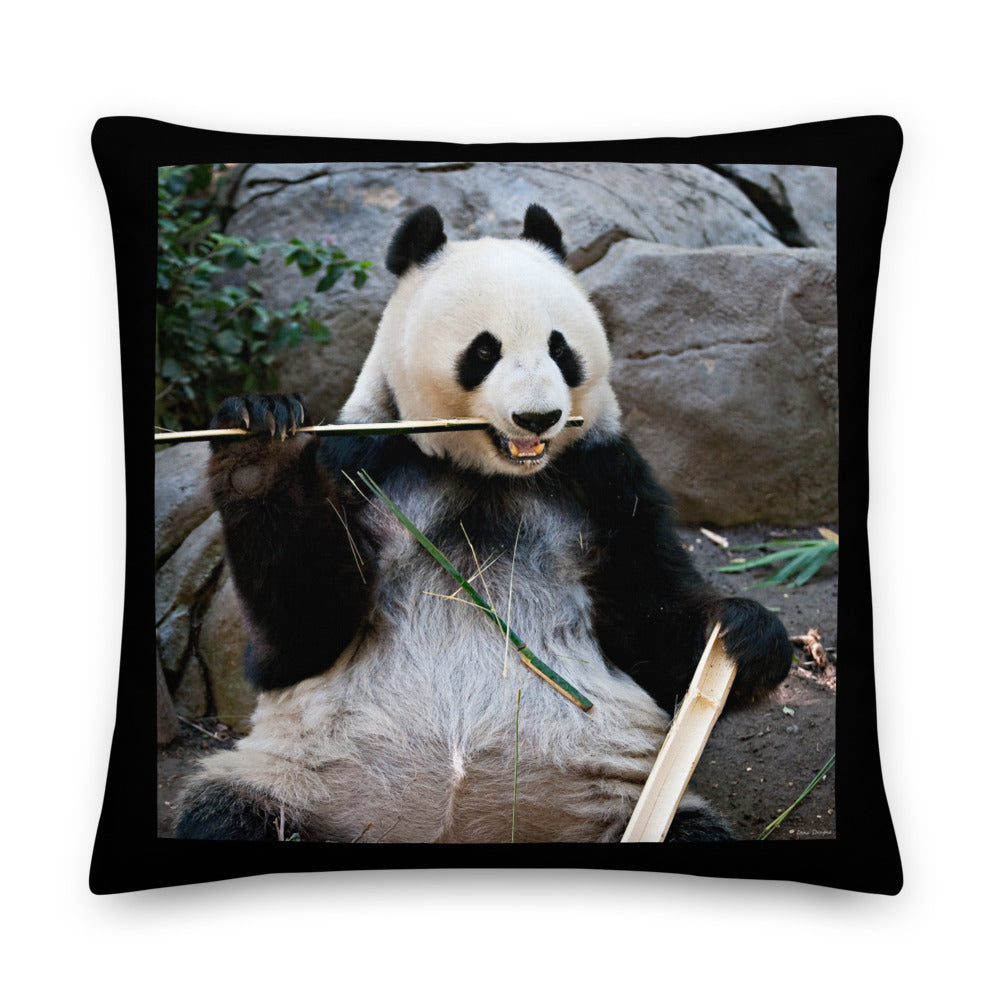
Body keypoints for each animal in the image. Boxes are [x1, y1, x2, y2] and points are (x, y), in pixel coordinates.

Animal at [175, 204, 792, 843]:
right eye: (483, 351)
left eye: (560, 348)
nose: (538, 416)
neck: (491, 475)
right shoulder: (366, 463)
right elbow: (301, 633)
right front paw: (258, 444)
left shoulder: (607, 481)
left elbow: (652, 623)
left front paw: (746, 633)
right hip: (297, 780)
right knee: (226, 813)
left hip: (613, 796)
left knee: (687, 826)